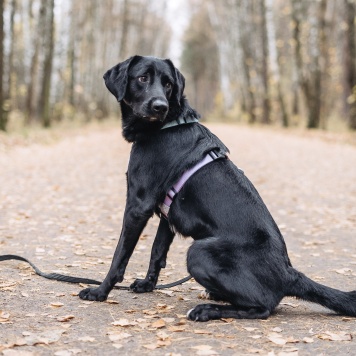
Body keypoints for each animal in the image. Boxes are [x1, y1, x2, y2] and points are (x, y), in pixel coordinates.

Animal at [79, 55, 356, 320]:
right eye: (143, 78)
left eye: (168, 84)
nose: (160, 106)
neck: (167, 125)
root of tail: (288, 273)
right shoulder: (166, 216)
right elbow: (157, 253)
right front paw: (147, 285)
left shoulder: (138, 206)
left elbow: (120, 257)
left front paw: (100, 291)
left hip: (199, 251)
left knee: (262, 307)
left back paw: (207, 310)